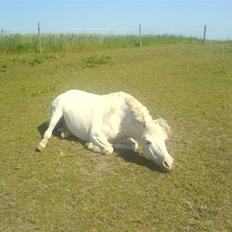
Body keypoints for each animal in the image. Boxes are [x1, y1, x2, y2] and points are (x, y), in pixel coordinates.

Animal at [36, 89, 174, 171]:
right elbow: (109, 149)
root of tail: (64, 93)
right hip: (56, 112)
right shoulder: (95, 135)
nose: (169, 163)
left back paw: (65, 133)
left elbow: (133, 145)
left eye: (164, 140)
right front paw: (91, 146)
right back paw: (41, 145)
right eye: (148, 142)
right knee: (48, 132)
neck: (121, 118)